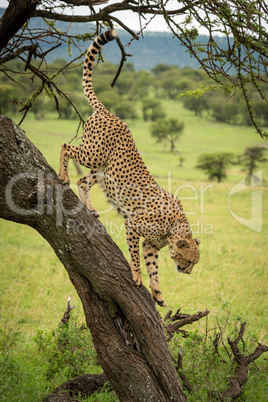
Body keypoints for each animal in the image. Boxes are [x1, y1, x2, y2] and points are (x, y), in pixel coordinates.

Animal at [58, 29, 199, 304]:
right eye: (189, 261)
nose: (187, 272)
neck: (173, 229)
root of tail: (110, 113)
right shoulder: (133, 225)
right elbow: (135, 256)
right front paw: (136, 276)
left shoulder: (151, 244)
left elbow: (153, 266)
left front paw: (157, 292)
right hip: (93, 153)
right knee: (65, 147)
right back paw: (62, 176)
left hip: (104, 169)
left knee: (83, 180)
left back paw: (90, 208)